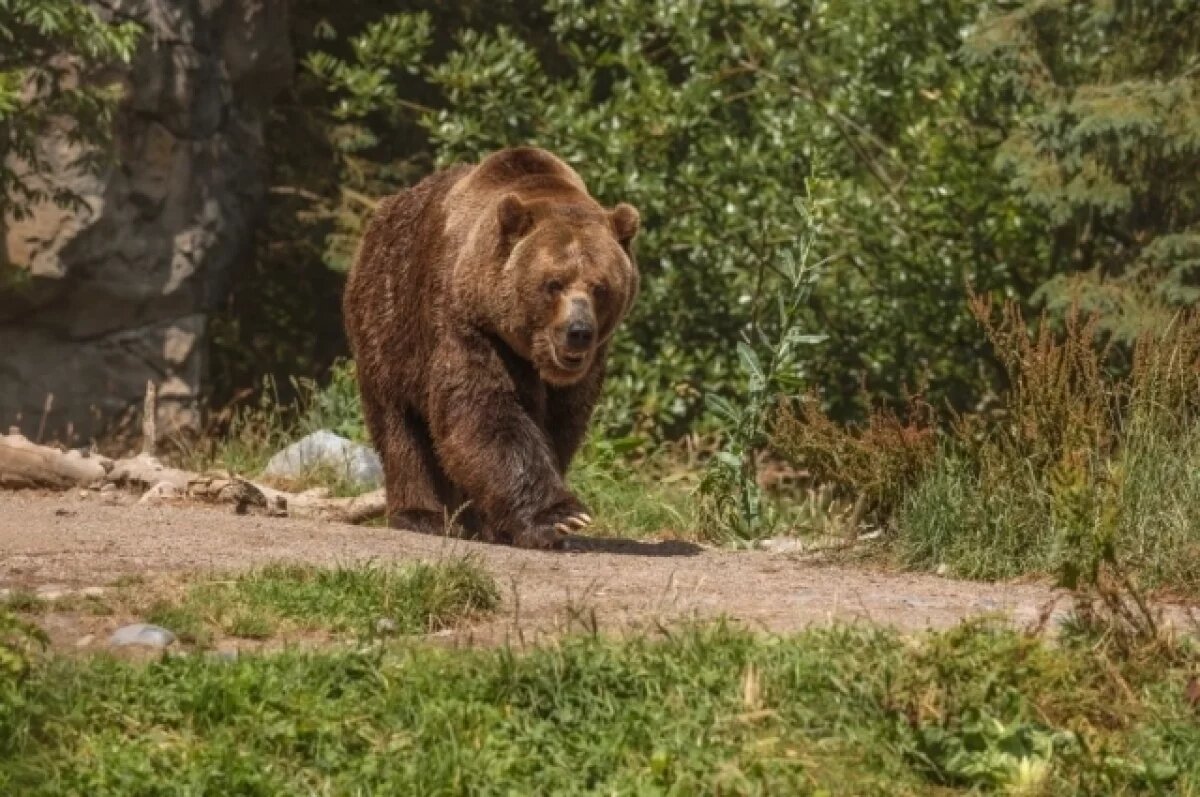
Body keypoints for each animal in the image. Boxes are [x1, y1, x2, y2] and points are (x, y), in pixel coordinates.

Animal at [342, 147, 640, 549]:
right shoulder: (469, 325)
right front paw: (560, 517)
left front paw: (512, 524)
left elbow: (561, 425)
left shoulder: (582, 371)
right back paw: (421, 515)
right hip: (387, 321)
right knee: (399, 424)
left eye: (600, 287)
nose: (578, 332)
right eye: (553, 283)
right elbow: (485, 411)